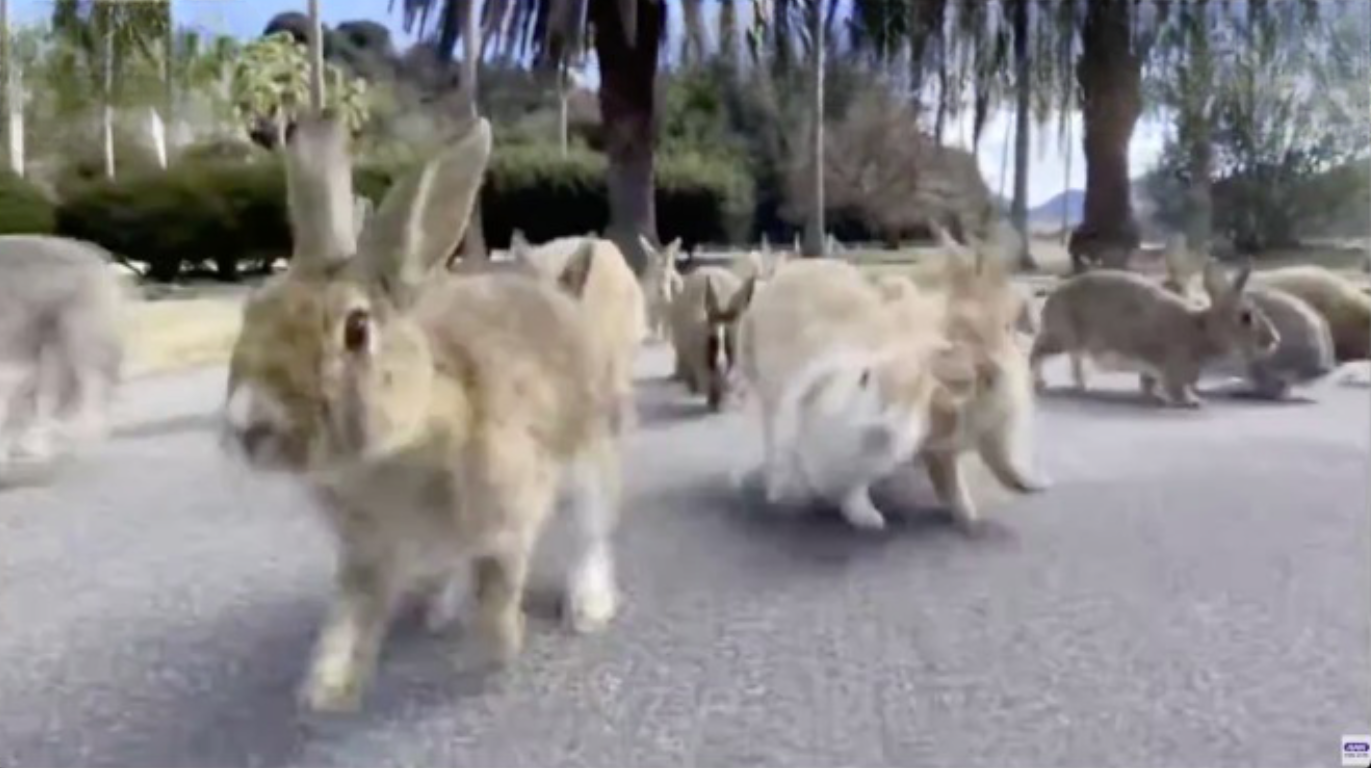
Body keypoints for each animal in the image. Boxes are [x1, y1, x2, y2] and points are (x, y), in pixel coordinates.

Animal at [220, 114, 625, 714]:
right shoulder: (367, 553)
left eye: (356, 330)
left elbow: (498, 585)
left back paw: (588, 608)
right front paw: (325, 689)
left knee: (589, 535)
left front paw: (501, 648)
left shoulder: (506, 516)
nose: (248, 423)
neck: (394, 453)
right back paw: (441, 612)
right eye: (252, 312)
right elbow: (351, 614)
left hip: (591, 459)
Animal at [1030, 261, 1280, 408]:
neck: (1201, 328)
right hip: (1063, 337)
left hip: (1077, 344)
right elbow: (1176, 387)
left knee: (1075, 360)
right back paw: (1039, 383)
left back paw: (1083, 386)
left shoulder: (1153, 369)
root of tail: (1052, 298)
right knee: (1037, 351)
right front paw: (1193, 401)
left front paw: (1155, 397)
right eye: (1246, 317)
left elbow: (1148, 383)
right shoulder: (1174, 367)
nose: (1275, 340)